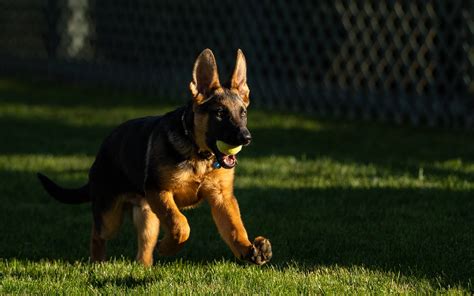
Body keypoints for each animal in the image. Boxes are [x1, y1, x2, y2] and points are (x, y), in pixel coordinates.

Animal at [37, 48, 272, 266]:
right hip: (110, 215)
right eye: (220, 113)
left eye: (243, 113)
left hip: (147, 216)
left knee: (144, 247)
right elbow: (181, 224)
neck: (199, 155)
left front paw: (249, 249)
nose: (246, 138)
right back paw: (97, 264)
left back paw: (144, 267)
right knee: (98, 234)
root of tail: (103, 149)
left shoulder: (222, 198)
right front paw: (168, 247)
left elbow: (234, 228)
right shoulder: (159, 191)